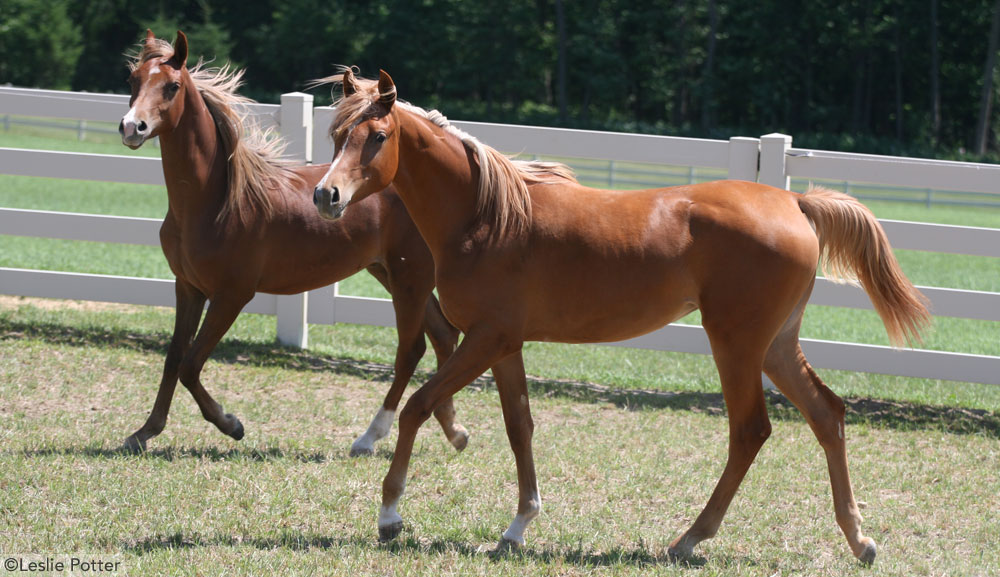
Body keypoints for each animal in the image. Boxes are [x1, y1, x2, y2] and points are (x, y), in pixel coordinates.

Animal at [116, 33, 468, 456]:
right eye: (133, 80)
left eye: (171, 86)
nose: (132, 127)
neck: (217, 200)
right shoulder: (187, 288)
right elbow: (173, 358)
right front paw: (144, 431)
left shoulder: (231, 295)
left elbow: (190, 365)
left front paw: (231, 425)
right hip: (391, 273)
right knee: (443, 336)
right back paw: (454, 430)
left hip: (409, 278)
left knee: (412, 349)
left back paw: (371, 437)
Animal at [310, 68, 928, 564]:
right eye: (337, 135)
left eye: (379, 137)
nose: (326, 196)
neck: (487, 217)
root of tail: (794, 203)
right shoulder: (505, 345)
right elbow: (519, 427)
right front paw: (518, 527)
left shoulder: (483, 340)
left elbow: (417, 405)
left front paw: (390, 515)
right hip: (776, 345)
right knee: (827, 414)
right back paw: (859, 540)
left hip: (737, 344)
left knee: (750, 430)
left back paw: (690, 539)